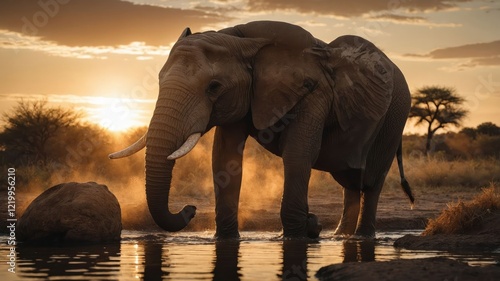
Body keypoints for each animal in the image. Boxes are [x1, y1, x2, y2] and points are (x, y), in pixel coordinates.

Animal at [110, 20, 414, 237]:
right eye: (159, 80)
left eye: (214, 87)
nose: (190, 209)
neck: (241, 38)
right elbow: (224, 158)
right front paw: (226, 239)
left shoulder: (314, 93)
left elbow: (298, 154)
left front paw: (295, 236)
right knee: (351, 184)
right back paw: (340, 236)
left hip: (395, 118)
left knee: (371, 182)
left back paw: (361, 237)